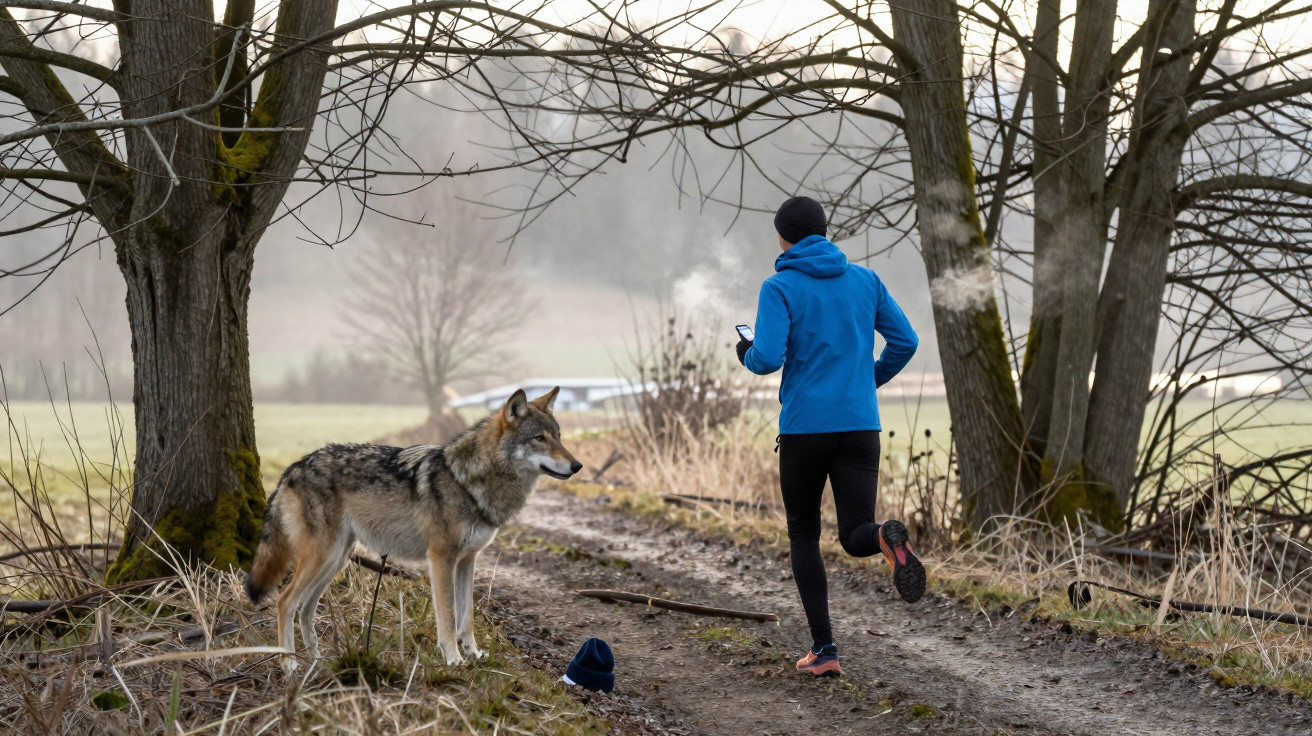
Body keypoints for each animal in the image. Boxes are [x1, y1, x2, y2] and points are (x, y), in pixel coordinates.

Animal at [244, 387, 581, 668]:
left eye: (559, 436)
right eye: (539, 438)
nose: (577, 466)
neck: (468, 480)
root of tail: (293, 467)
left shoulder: (468, 560)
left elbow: (467, 616)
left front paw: (474, 654)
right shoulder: (441, 558)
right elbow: (448, 617)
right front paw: (454, 659)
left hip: (336, 559)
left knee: (305, 608)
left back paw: (317, 662)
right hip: (322, 557)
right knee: (285, 602)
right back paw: (290, 667)